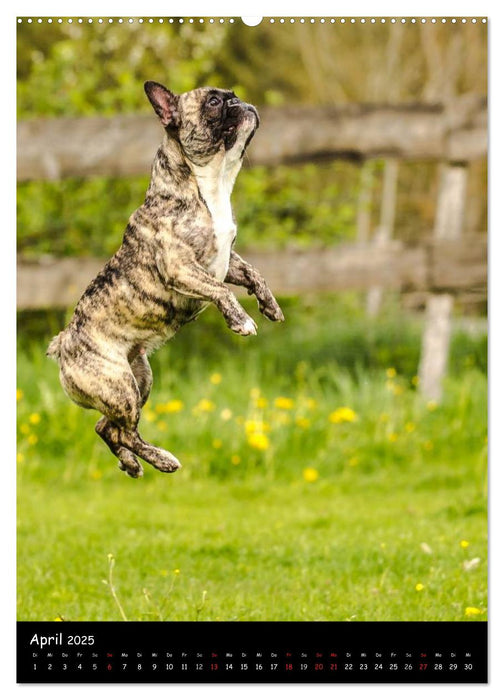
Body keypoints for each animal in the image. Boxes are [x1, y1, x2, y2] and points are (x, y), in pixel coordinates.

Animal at [48, 80, 284, 476]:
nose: (239, 101)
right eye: (214, 102)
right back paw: (163, 459)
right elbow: (220, 290)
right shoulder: (181, 267)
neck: (209, 184)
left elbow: (252, 273)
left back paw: (132, 464)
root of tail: (62, 345)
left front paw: (270, 305)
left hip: (139, 379)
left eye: (230, 95)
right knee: (125, 431)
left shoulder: (226, 258)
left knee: (106, 427)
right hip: (119, 386)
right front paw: (241, 320)